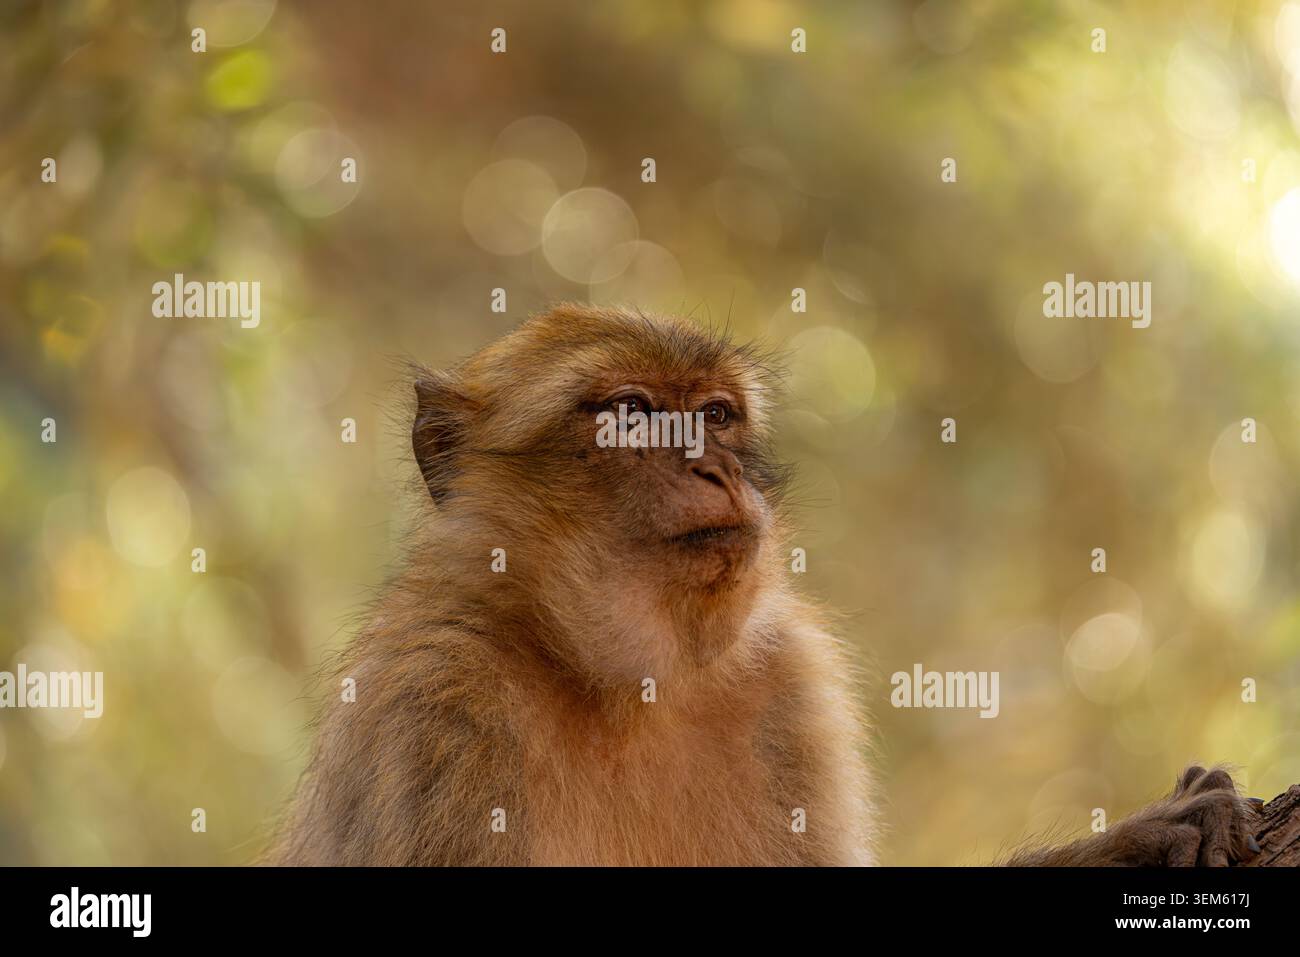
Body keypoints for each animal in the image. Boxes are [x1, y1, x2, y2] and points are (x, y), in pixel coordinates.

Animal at [270, 303, 1258, 867]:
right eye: (632, 413)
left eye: (713, 414)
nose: (714, 468)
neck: (626, 684)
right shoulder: (432, 703)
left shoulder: (791, 680)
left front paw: (1126, 843)